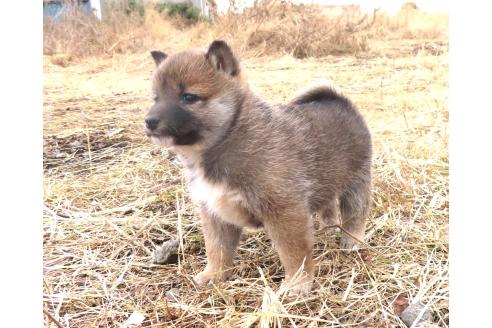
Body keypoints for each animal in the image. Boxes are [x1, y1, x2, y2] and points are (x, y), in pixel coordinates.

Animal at [144, 40, 370, 294]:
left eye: (189, 97)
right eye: (156, 98)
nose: (149, 121)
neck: (229, 138)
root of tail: (339, 100)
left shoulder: (285, 211)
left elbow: (294, 253)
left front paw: (297, 284)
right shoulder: (214, 213)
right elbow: (217, 249)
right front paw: (214, 275)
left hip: (357, 182)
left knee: (356, 214)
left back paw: (352, 240)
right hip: (328, 181)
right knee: (328, 206)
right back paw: (328, 229)